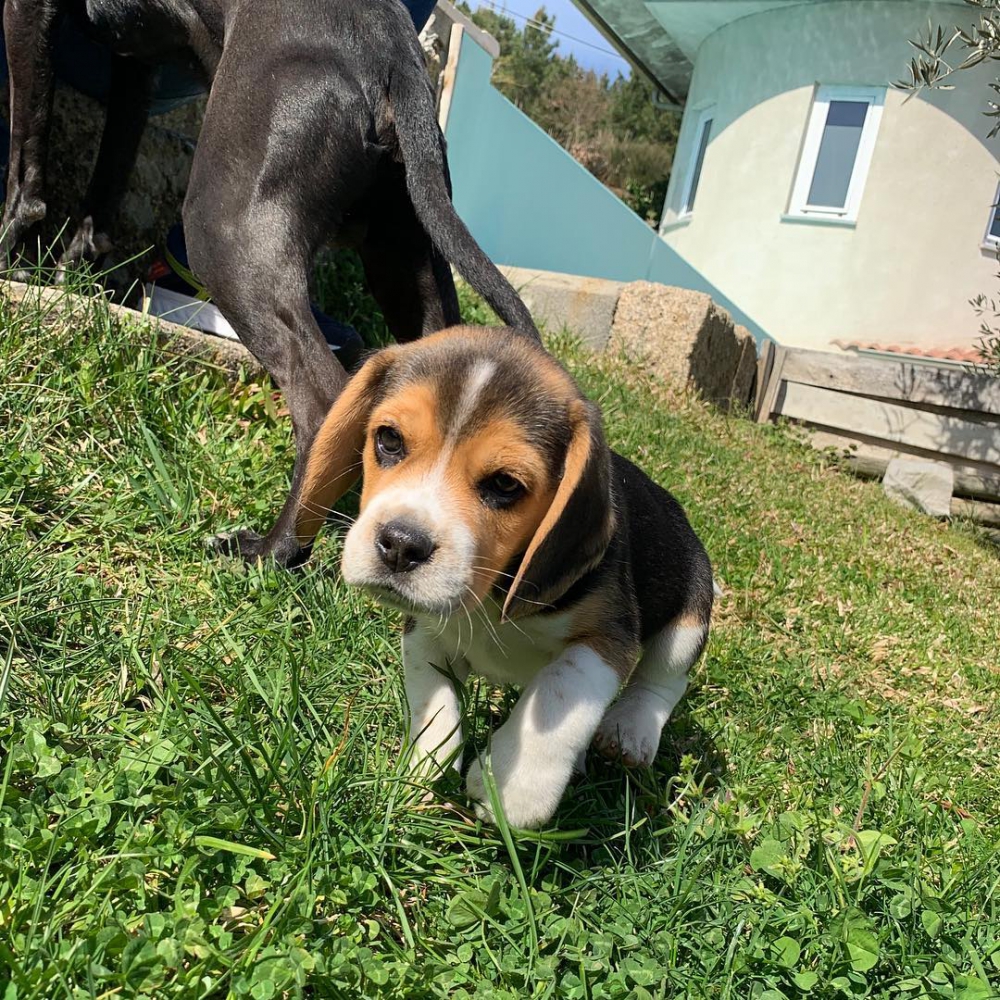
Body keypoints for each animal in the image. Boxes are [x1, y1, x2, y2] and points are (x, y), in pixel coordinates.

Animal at [1, 0, 540, 568]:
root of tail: (393, 50)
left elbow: (25, 156)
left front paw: (10, 257)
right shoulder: (135, 68)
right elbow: (107, 177)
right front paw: (73, 270)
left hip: (224, 230)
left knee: (322, 400)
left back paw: (272, 549)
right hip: (404, 256)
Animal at [292, 328, 716, 828]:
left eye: (505, 485)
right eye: (389, 440)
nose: (400, 544)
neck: (491, 595)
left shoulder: (607, 638)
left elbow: (556, 694)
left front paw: (511, 790)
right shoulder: (423, 633)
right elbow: (434, 702)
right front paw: (423, 769)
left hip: (691, 611)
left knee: (664, 680)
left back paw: (629, 729)